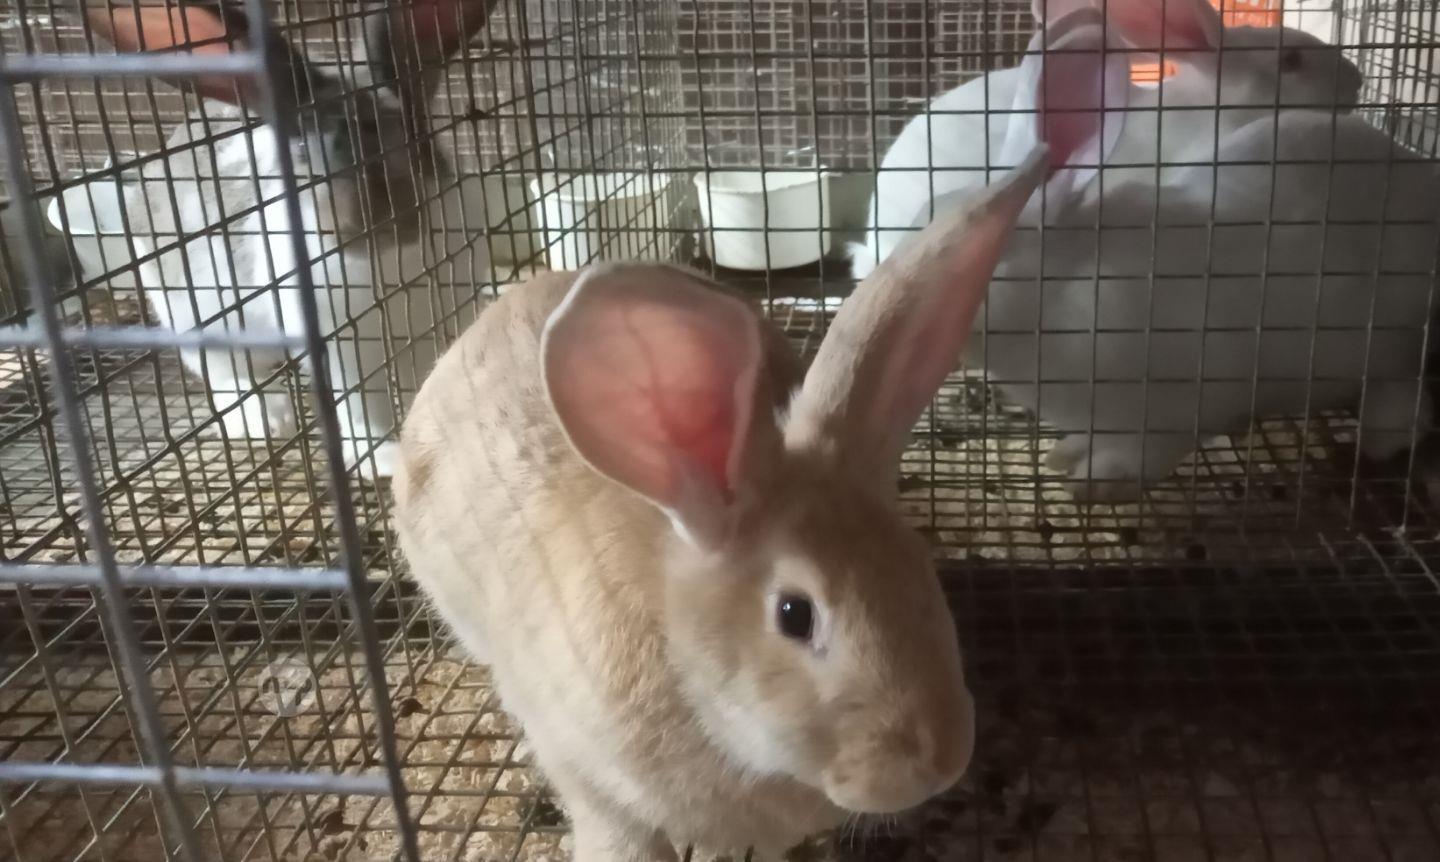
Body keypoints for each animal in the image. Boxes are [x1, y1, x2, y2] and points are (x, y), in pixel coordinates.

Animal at [83, 0, 498, 478]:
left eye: (416, 136)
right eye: (299, 153)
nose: (375, 221)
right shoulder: (339, 347)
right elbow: (361, 405)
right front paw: (383, 458)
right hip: (195, 319)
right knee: (223, 376)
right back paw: (266, 417)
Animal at [968, 23, 1440, 502]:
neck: (1059, 285)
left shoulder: (1179, 411)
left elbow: (1145, 455)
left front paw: (1096, 483)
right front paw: (1066, 454)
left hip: (1393, 336)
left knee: (1403, 397)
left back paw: (1379, 442)